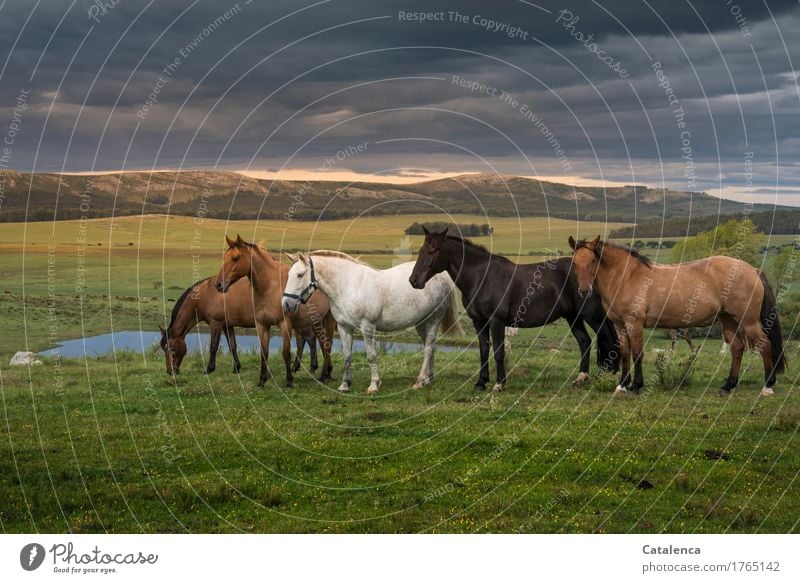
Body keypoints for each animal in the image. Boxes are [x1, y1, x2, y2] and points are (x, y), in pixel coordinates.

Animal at [214, 233, 336, 388]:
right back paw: (328, 373)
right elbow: (264, 353)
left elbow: (286, 353)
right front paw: (261, 381)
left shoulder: (285, 324)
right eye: (225, 257)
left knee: (327, 345)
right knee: (323, 343)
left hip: (328, 319)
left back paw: (323, 375)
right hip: (316, 321)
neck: (269, 287)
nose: (218, 284)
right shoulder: (262, 325)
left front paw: (289, 381)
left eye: (235, 258)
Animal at [282, 250, 460, 392]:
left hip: (433, 319)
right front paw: (345, 384)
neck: (349, 286)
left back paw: (420, 381)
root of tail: (443, 275)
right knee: (430, 346)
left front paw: (374, 384)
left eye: (300, 275)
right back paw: (429, 379)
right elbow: (347, 356)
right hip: (421, 322)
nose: (286, 304)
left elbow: (371, 355)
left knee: (429, 347)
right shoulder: (344, 327)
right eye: (289, 275)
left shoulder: (367, 327)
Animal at [410, 228, 620, 392]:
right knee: (585, 342)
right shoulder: (479, 322)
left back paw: (613, 379)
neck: (482, 277)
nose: (414, 280)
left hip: (593, 316)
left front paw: (499, 385)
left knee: (611, 341)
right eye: (421, 250)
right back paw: (580, 379)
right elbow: (483, 351)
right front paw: (481, 383)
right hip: (573, 317)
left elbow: (498, 352)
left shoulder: (497, 321)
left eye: (434, 250)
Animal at [568, 236, 788, 396]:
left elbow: (637, 353)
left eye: (593, 260)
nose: (584, 291)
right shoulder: (619, 324)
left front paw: (636, 386)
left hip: (749, 322)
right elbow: (624, 353)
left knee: (764, 345)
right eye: (574, 262)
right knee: (737, 348)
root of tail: (753, 269)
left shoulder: (634, 323)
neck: (626, 276)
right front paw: (622, 385)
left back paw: (768, 386)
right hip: (728, 320)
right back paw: (728, 386)